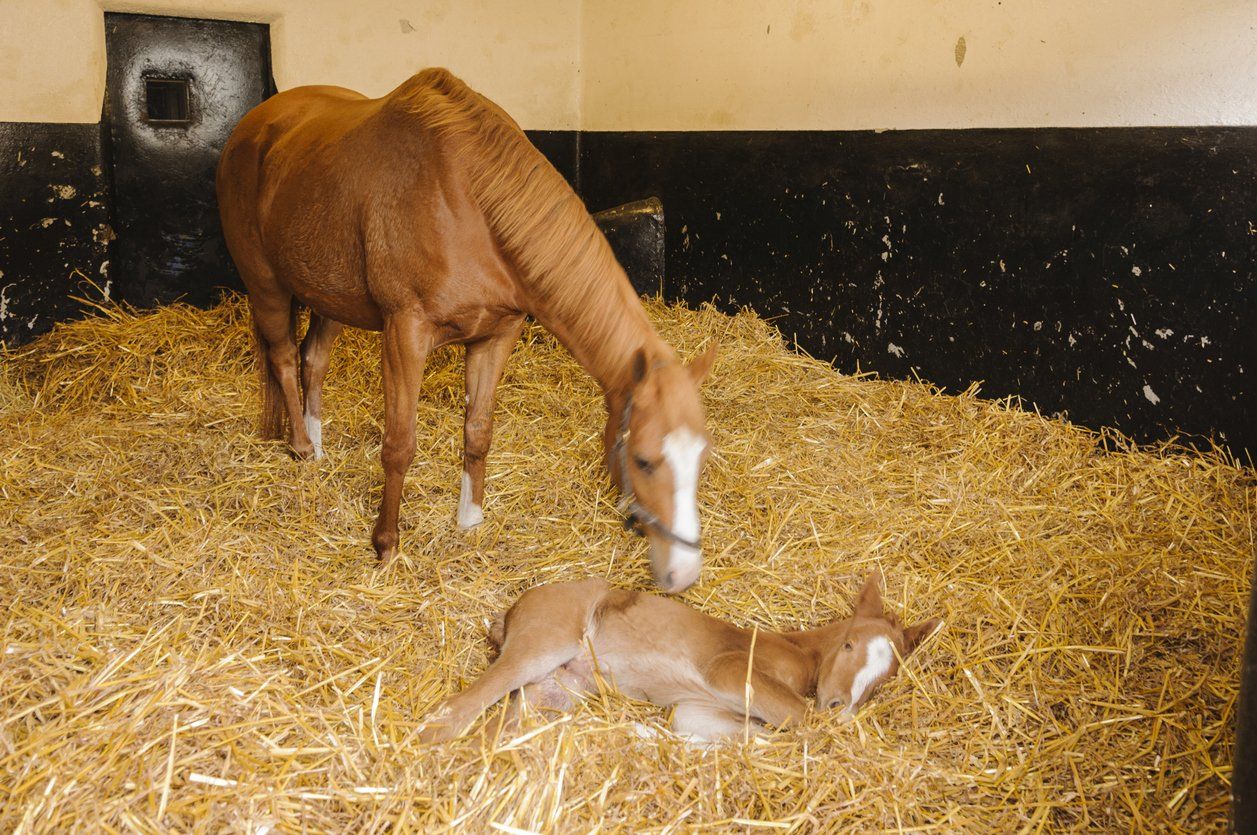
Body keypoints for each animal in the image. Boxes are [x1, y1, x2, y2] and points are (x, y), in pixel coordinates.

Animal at [216, 69, 716, 592]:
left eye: (703, 456)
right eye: (643, 460)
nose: (684, 573)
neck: (469, 203)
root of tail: (256, 123)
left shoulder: (496, 336)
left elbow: (478, 432)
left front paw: (469, 520)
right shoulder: (405, 335)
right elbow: (399, 446)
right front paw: (386, 545)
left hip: (328, 294)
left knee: (313, 360)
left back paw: (316, 446)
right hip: (267, 286)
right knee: (283, 360)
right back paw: (298, 445)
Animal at [418, 569, 942, 744]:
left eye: (887, 676)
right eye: (850, 643)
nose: (840, 708)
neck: (798, 649)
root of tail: (511, 612)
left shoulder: (699, 709)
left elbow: (740, 735)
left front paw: (649, 736)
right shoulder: (729, 670)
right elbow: (800, 721)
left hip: (559, 685)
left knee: (500, 725)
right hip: (546, 641)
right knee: (466, 701)